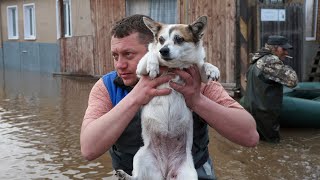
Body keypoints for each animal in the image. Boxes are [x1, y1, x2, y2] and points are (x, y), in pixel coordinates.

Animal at [115, 15, 220, 180]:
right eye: (161, 39)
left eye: (179, 39)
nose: (163, 50)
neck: (174, 67)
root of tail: (164, 172)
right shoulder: (140, 68)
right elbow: (151, 54)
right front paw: (153, 64)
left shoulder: (198, 73)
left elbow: (202, 64)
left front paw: (212, 68)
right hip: (140, 155)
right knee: (137, 177)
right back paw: (125, 175)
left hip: (189, 174)